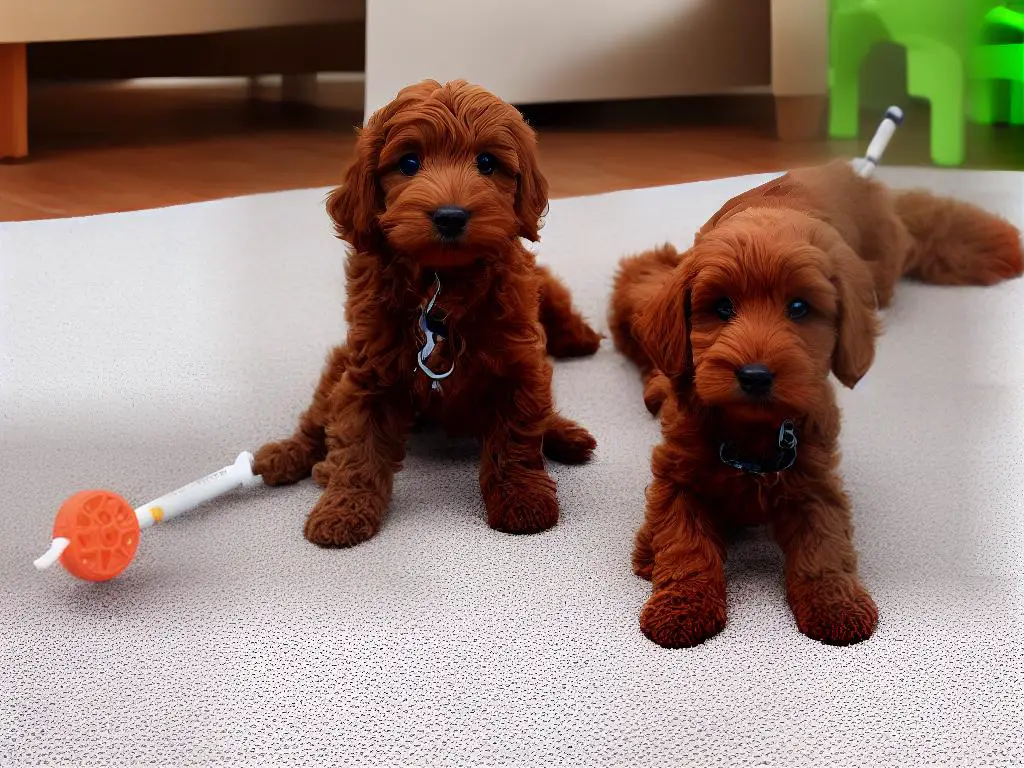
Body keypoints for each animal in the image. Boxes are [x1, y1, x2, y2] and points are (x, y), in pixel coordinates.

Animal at [256, 79, 602, 548]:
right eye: (409, 162)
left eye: (487, 162)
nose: (450, 216)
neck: (441, 283)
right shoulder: (369, 371)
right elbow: (357, 443)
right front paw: (343, 509)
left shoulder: (519, 363)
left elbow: (516, 437)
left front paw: (523, 500)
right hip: (340, 366)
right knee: (316, 422)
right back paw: (287, 456)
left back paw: (565, 434)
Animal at [610, 160, 1019, 651]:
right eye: (722, 307)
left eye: (799, 308)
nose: (755, 375)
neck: (752, 431)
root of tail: (852, 171)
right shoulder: (679, 473)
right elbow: (682, 539)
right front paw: (680, 604)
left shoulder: (814, 475)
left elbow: (823, 543)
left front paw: (835, 604)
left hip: (882, 271)